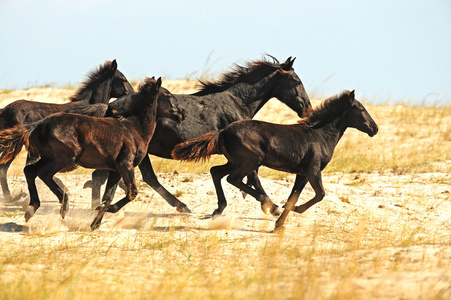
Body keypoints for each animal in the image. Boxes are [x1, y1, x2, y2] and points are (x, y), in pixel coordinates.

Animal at [0, 59, 134, 203]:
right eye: (123, 79)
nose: (132, 94)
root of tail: (4, 110)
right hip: (19, 147)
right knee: (10, 168)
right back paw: (11, 198)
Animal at [0, 77, 185, 230]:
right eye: (168, 95)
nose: (181, 113)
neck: (135, 128)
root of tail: (36, 125)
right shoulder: (125, 164)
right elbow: (131, 192)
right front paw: (104, 211)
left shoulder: (115, 170)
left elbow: (108, 196)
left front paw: (95, 223)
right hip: (64, 158)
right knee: (42, 173)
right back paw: (63, 205)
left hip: (48, 157)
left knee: (30, 171)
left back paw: (32, 209)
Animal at [88, 55, 314, 213]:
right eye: (296, 81)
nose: (308, 109)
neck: (237, 101)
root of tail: (110, 106)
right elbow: (253, 176)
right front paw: (269, 206)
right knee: (124, 176)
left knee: (141, 178)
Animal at [173, 90, 378, 229]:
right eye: (360, 108)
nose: (374, 128)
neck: (320, 134)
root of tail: (223, 131)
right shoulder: (313, 170)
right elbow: (320, 194)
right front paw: (288, 212)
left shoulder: (302, 174)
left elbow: (294, 196)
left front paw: (279, 224)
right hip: (251, 161)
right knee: (233, 178)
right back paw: (267, 203)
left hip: (234, 161)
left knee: (216, 172)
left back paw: (220, 209)